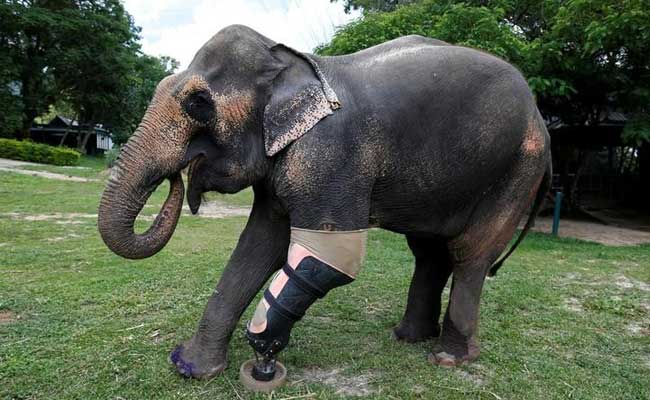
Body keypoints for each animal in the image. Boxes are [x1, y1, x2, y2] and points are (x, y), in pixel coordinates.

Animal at [98, 25, 551, 379]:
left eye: (198, 103)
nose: (178, 177)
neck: (290, 60)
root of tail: (540, 118)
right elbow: (258, 246)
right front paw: (191, 368)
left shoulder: (332, 154)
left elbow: (333, 256)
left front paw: (264, 348)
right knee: (429, 251)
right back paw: (407, 337)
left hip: (517, 169)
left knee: (469, 251)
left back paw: (448, 358)